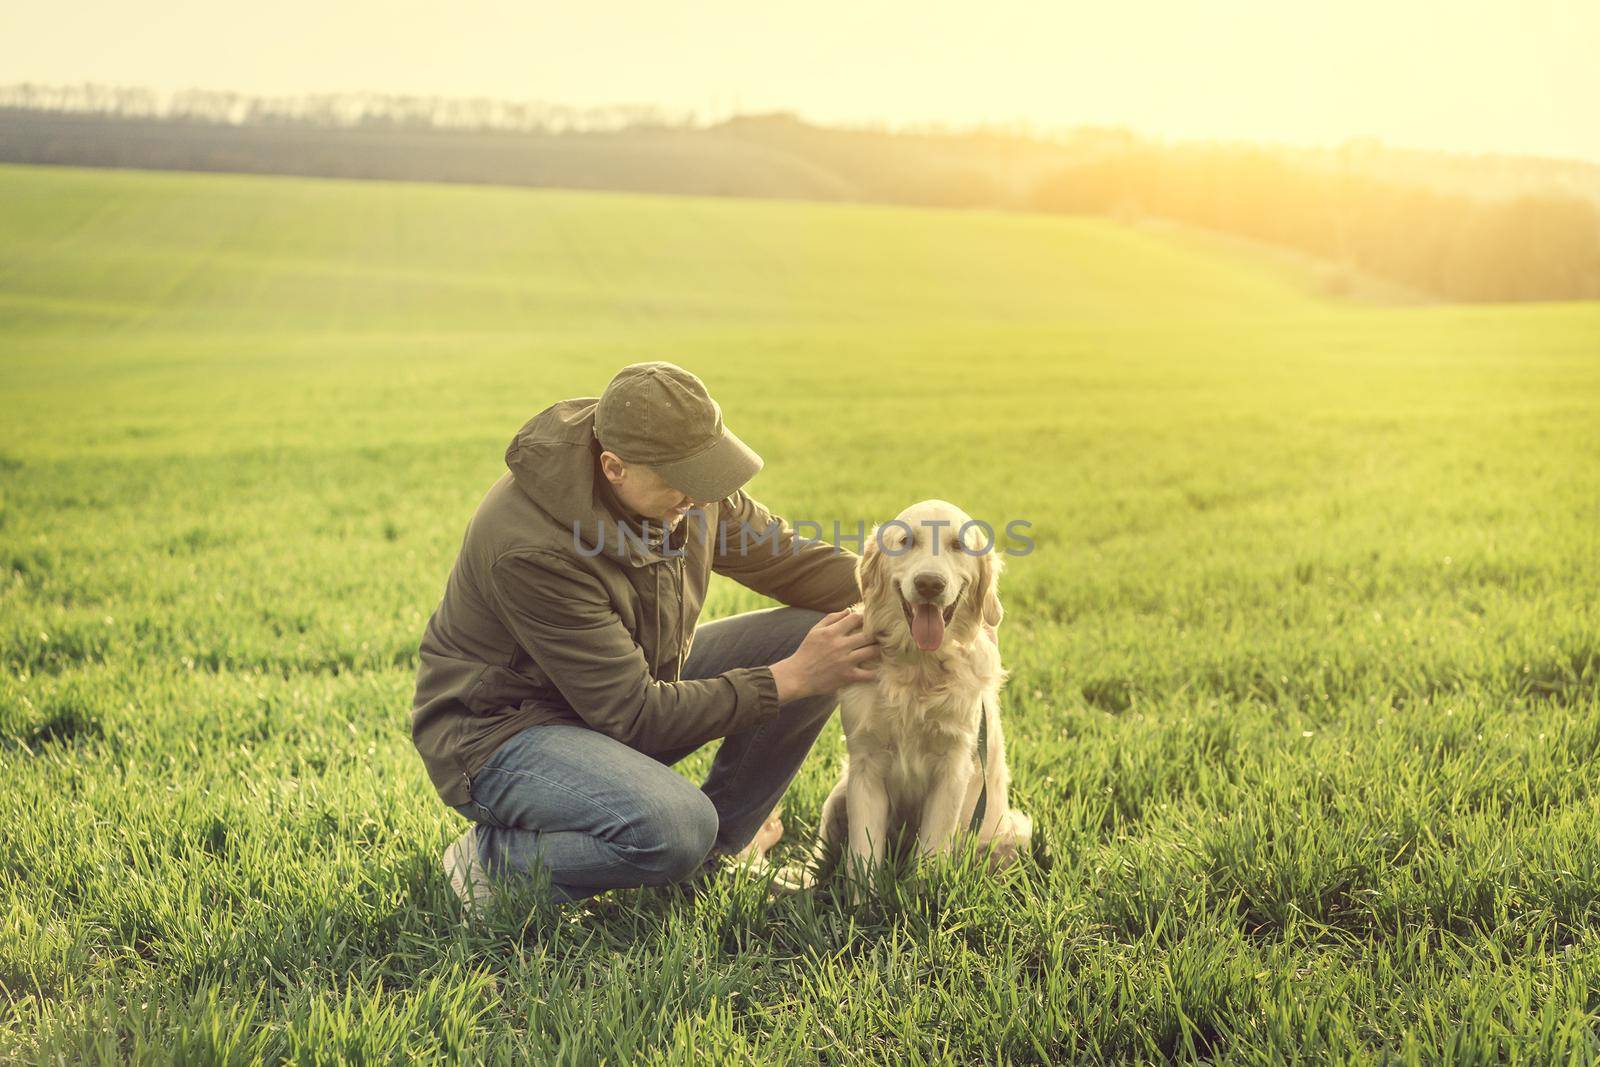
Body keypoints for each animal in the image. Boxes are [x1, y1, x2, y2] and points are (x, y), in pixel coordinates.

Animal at [774, 502, 1036, 902]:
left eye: (958, 545)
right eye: (905, 541)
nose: (930, 584)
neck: (919, 668)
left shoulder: (953, 767)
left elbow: (931, 851)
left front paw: (921, 901)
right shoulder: (865, 765)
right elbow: (862, 856)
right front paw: (861, 909)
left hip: (1012, 831)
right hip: (836, 799)